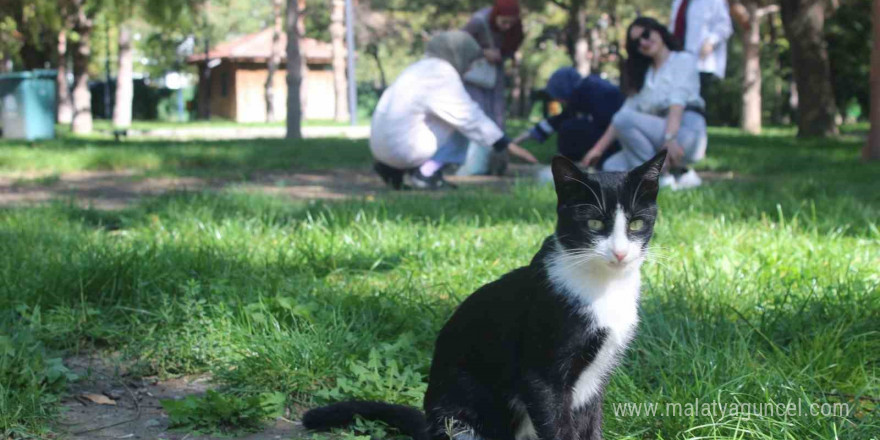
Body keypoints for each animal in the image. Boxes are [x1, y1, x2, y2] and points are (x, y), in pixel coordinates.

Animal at [304, 150, 668, 440]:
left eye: (636, 225)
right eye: (594, 223)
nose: (620, 253)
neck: (604, 286)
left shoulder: (598, 377)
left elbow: (591, 426)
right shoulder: (542, 373)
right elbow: (557, 425)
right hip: (460, 415)